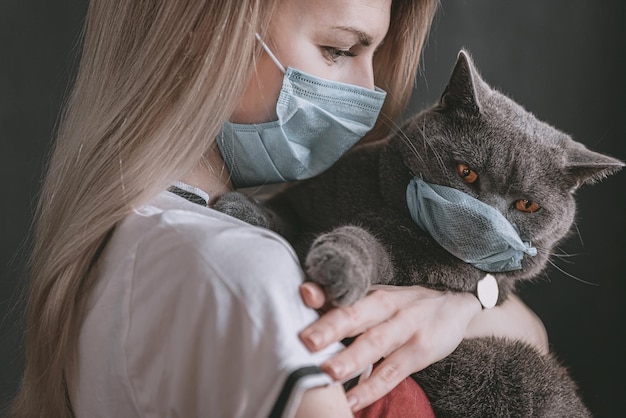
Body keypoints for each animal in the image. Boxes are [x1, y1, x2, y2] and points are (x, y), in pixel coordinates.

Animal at [213, 50, 620, 416]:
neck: (375, 203)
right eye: (466, 172)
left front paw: (340, 265)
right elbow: (284, 212)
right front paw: (238, 207)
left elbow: (367, 243)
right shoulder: (310, 195)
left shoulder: (418, 268)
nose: (486, 217)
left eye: (526, 205)